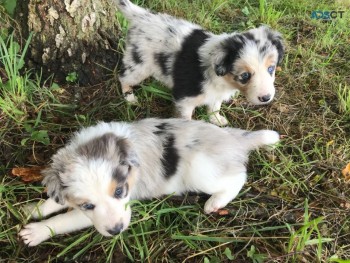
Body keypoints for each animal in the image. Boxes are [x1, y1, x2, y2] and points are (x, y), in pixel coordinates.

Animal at [19, 118, 280, 246]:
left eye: (119, 192)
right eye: (88, 205)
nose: (117, 231)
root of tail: (232, 138)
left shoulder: (120, 205)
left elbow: (65, 219)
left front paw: (36, 232)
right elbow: (55, 201)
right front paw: (32, 210)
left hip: (200, 169)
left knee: (238, 176)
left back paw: (215, 202)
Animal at [115, 0, 284, 126]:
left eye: (271, 69)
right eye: (245, 76)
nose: (266, 98)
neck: (223, 80)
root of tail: (141, 16)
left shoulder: (216, 94)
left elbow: (215, 107)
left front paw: (217, 120)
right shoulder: (184, 100)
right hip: (139, 65)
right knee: (123, 77)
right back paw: (129, 97)